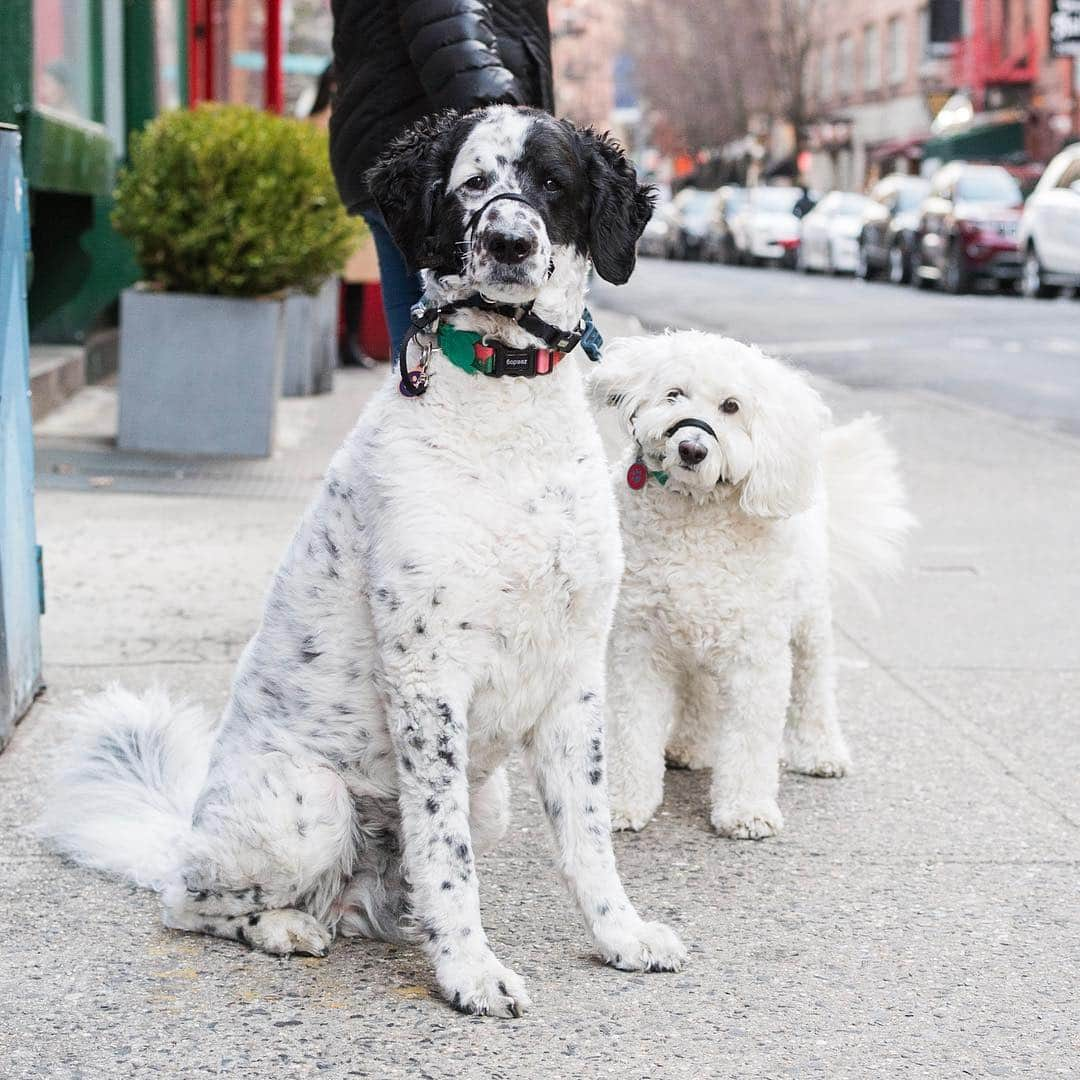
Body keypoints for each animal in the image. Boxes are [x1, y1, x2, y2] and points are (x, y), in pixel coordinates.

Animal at [44, 105, 682, 1015]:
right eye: (472, 185)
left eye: (552, 185)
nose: (510, 242)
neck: (505, 415)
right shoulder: (427, 673)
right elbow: (448, 854)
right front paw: (470, 971)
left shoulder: (574, 677)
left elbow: (588, 838)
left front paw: (619, 936)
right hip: (308, 804)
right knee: (189, 902)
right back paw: (286, 928)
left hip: (488, 800)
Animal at [591, 332, 911, 838]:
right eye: (674, 394)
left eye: (732, 406)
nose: (692, 448)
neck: (696, 517)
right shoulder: (638, 645)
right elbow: (633, 729)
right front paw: (623, 802)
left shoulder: (756, 656)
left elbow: (750, 739)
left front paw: (745, 811)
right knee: (700, 691)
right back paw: (689, 747)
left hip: (809, 622)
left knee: (813, 685)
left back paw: (821, 752)